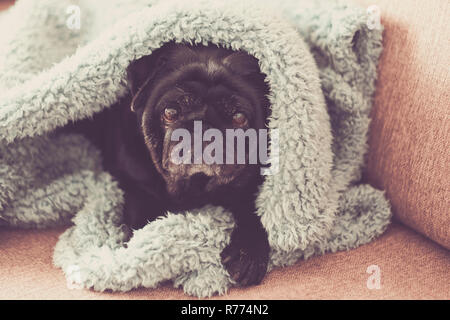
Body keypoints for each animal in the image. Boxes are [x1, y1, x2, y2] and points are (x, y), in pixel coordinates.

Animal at [65, 42, 272, 284]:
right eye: (170, 112)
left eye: (239, 118)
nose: (203, 129)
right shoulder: (136, 185)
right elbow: (145, 215)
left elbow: (252, 209)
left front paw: (247, 252)